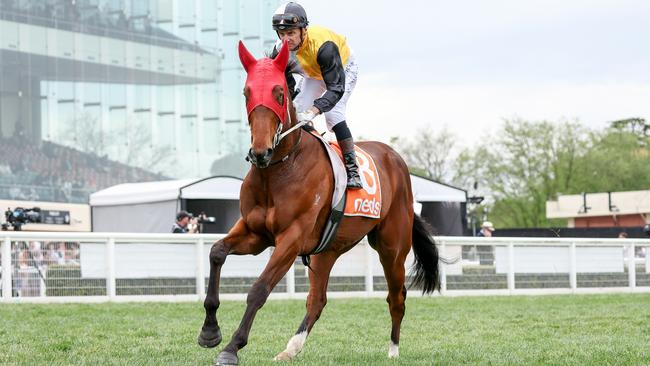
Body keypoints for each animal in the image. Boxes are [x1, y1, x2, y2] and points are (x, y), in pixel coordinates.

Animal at [196, 41, 440, 364]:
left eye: (279, 92)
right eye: (247, 92)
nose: (260, 152)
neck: (280, 168)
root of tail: (396, 159)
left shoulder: (291, 239)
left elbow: (259, 289)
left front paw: (232, 347)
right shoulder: (254, 233)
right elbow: (216, 253)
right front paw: (209, 332)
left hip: (392, 246)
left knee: (396, 296)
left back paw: (393, 350)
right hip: (328, 250)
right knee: (317, 300)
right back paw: (291, 348)